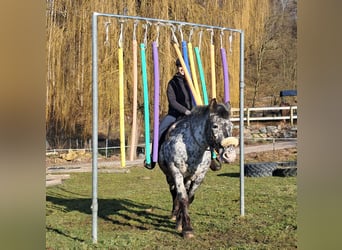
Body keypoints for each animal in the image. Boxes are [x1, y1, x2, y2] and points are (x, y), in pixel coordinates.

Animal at [158, 98, 238, 238]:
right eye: (215, 126)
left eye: (231, 126)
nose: (230, 155)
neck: (191, 147)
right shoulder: (176, 172)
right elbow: (183, 197)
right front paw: (187, 229)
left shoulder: (199, 176)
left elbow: (189, 198)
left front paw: (181, 223)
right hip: (169, 176)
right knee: (174, 193)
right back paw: (173, 214)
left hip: (188, 178)